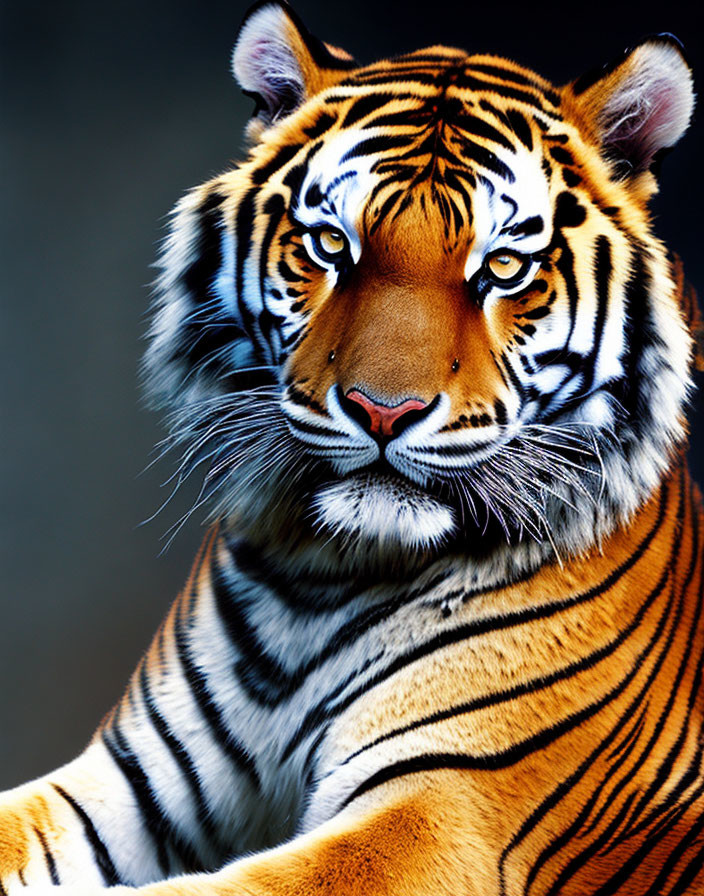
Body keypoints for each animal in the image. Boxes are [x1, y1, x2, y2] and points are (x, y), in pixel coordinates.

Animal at [2, 0, 700, 892]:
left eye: (505, 267)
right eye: (331, 247)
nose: (383, 410)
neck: (329, 572)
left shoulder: (441, 811)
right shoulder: (133, 776)